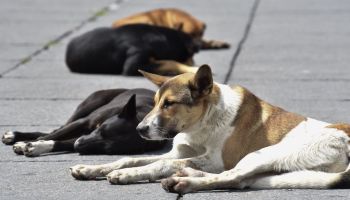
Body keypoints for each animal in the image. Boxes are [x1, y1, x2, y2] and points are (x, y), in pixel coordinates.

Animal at [1, 88, 166, 157]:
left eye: (107, 150)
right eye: (101, 129)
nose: (78, 145)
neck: (141, 116)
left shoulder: (82, 137)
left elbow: (61, 142)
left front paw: (37, 147)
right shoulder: (83, 123)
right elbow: (51, 136)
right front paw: (26, 143)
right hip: (88, 105)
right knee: (56, 129)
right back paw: (15, 136)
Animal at [70, 65, 350, 194]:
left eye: (169, 104)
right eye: (155, 102)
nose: (139, 129)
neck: (202, 124)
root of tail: (346, 138)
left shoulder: (216, 160)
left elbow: (158, 164)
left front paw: (127, 175)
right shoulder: (178, 152)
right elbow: (130, 158)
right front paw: (92, 169)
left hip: (266, 154)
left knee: (232, 177)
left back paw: (183, 181)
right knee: (242, 180)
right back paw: (186, 175)